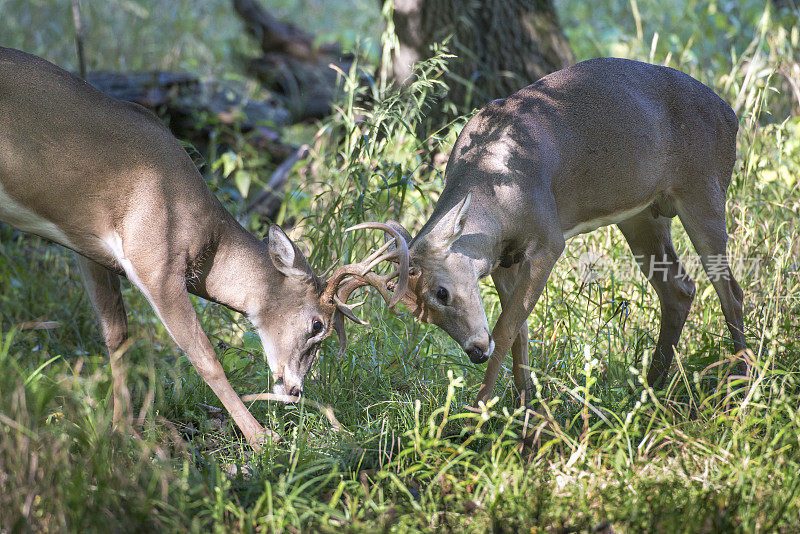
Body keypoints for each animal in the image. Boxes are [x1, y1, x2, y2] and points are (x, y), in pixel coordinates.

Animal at [0, 47, 410, 448]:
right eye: (317, 324)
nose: (294, 390)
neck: (204, 234)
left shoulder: (88, 247)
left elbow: (117, 337)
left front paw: (122, 431)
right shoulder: (155, 262)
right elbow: (205, 357)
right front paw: (261, 438)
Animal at [384, 56, 748, 404]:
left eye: (441, 292)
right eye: (422, 316)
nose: (475, 351)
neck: (496, 185)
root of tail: (730, 114)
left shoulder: (547, 241)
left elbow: (504, 329)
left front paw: (479, 411)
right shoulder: (502, 259)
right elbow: (519, 331)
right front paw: (526, 405)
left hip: (704, 189)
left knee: (731, 291)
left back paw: (741, 387)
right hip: (643, 215)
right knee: (679, 288)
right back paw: (650, 390)